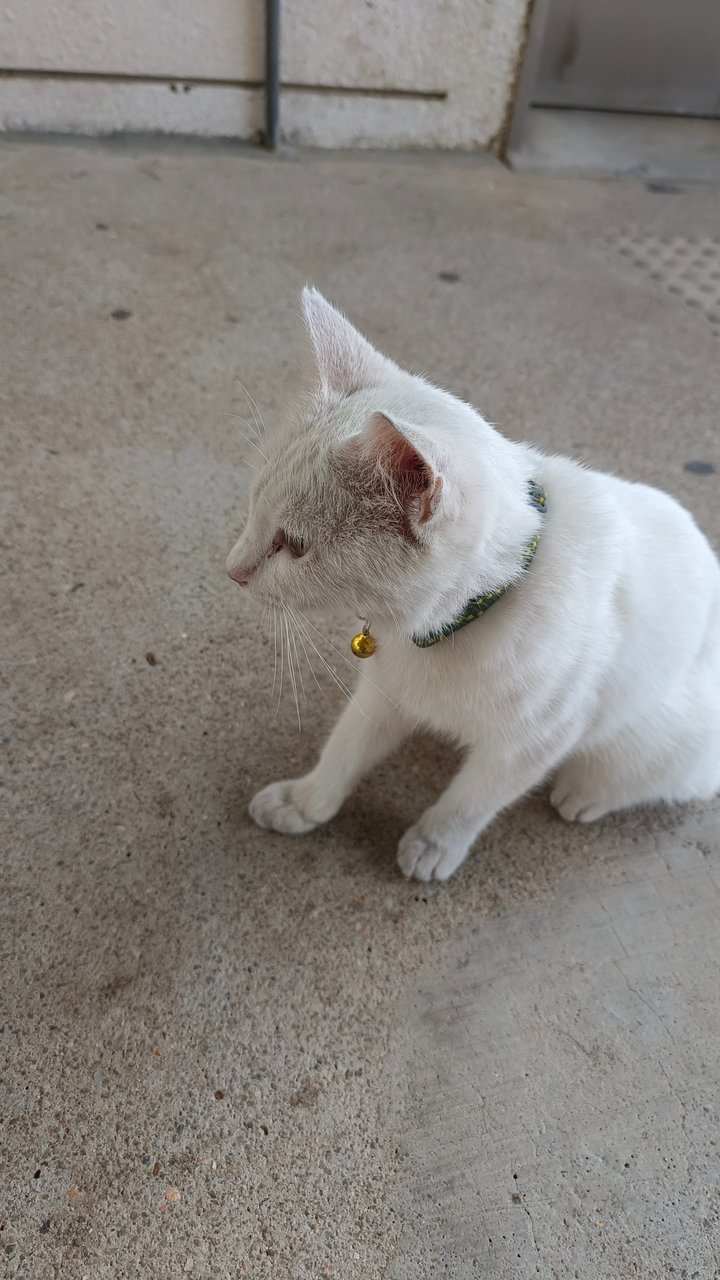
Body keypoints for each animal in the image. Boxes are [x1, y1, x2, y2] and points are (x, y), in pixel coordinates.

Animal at [226, 288, 717, 880]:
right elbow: (346, 746)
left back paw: (586, 793)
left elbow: (475, 797)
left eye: (295, 546)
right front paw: (305, 801)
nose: (232, 569)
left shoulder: (539, 737)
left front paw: (435, 842)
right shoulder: (385, 689)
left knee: (678, 775)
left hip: (659, 730)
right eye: (253, 503)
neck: (449, 628)